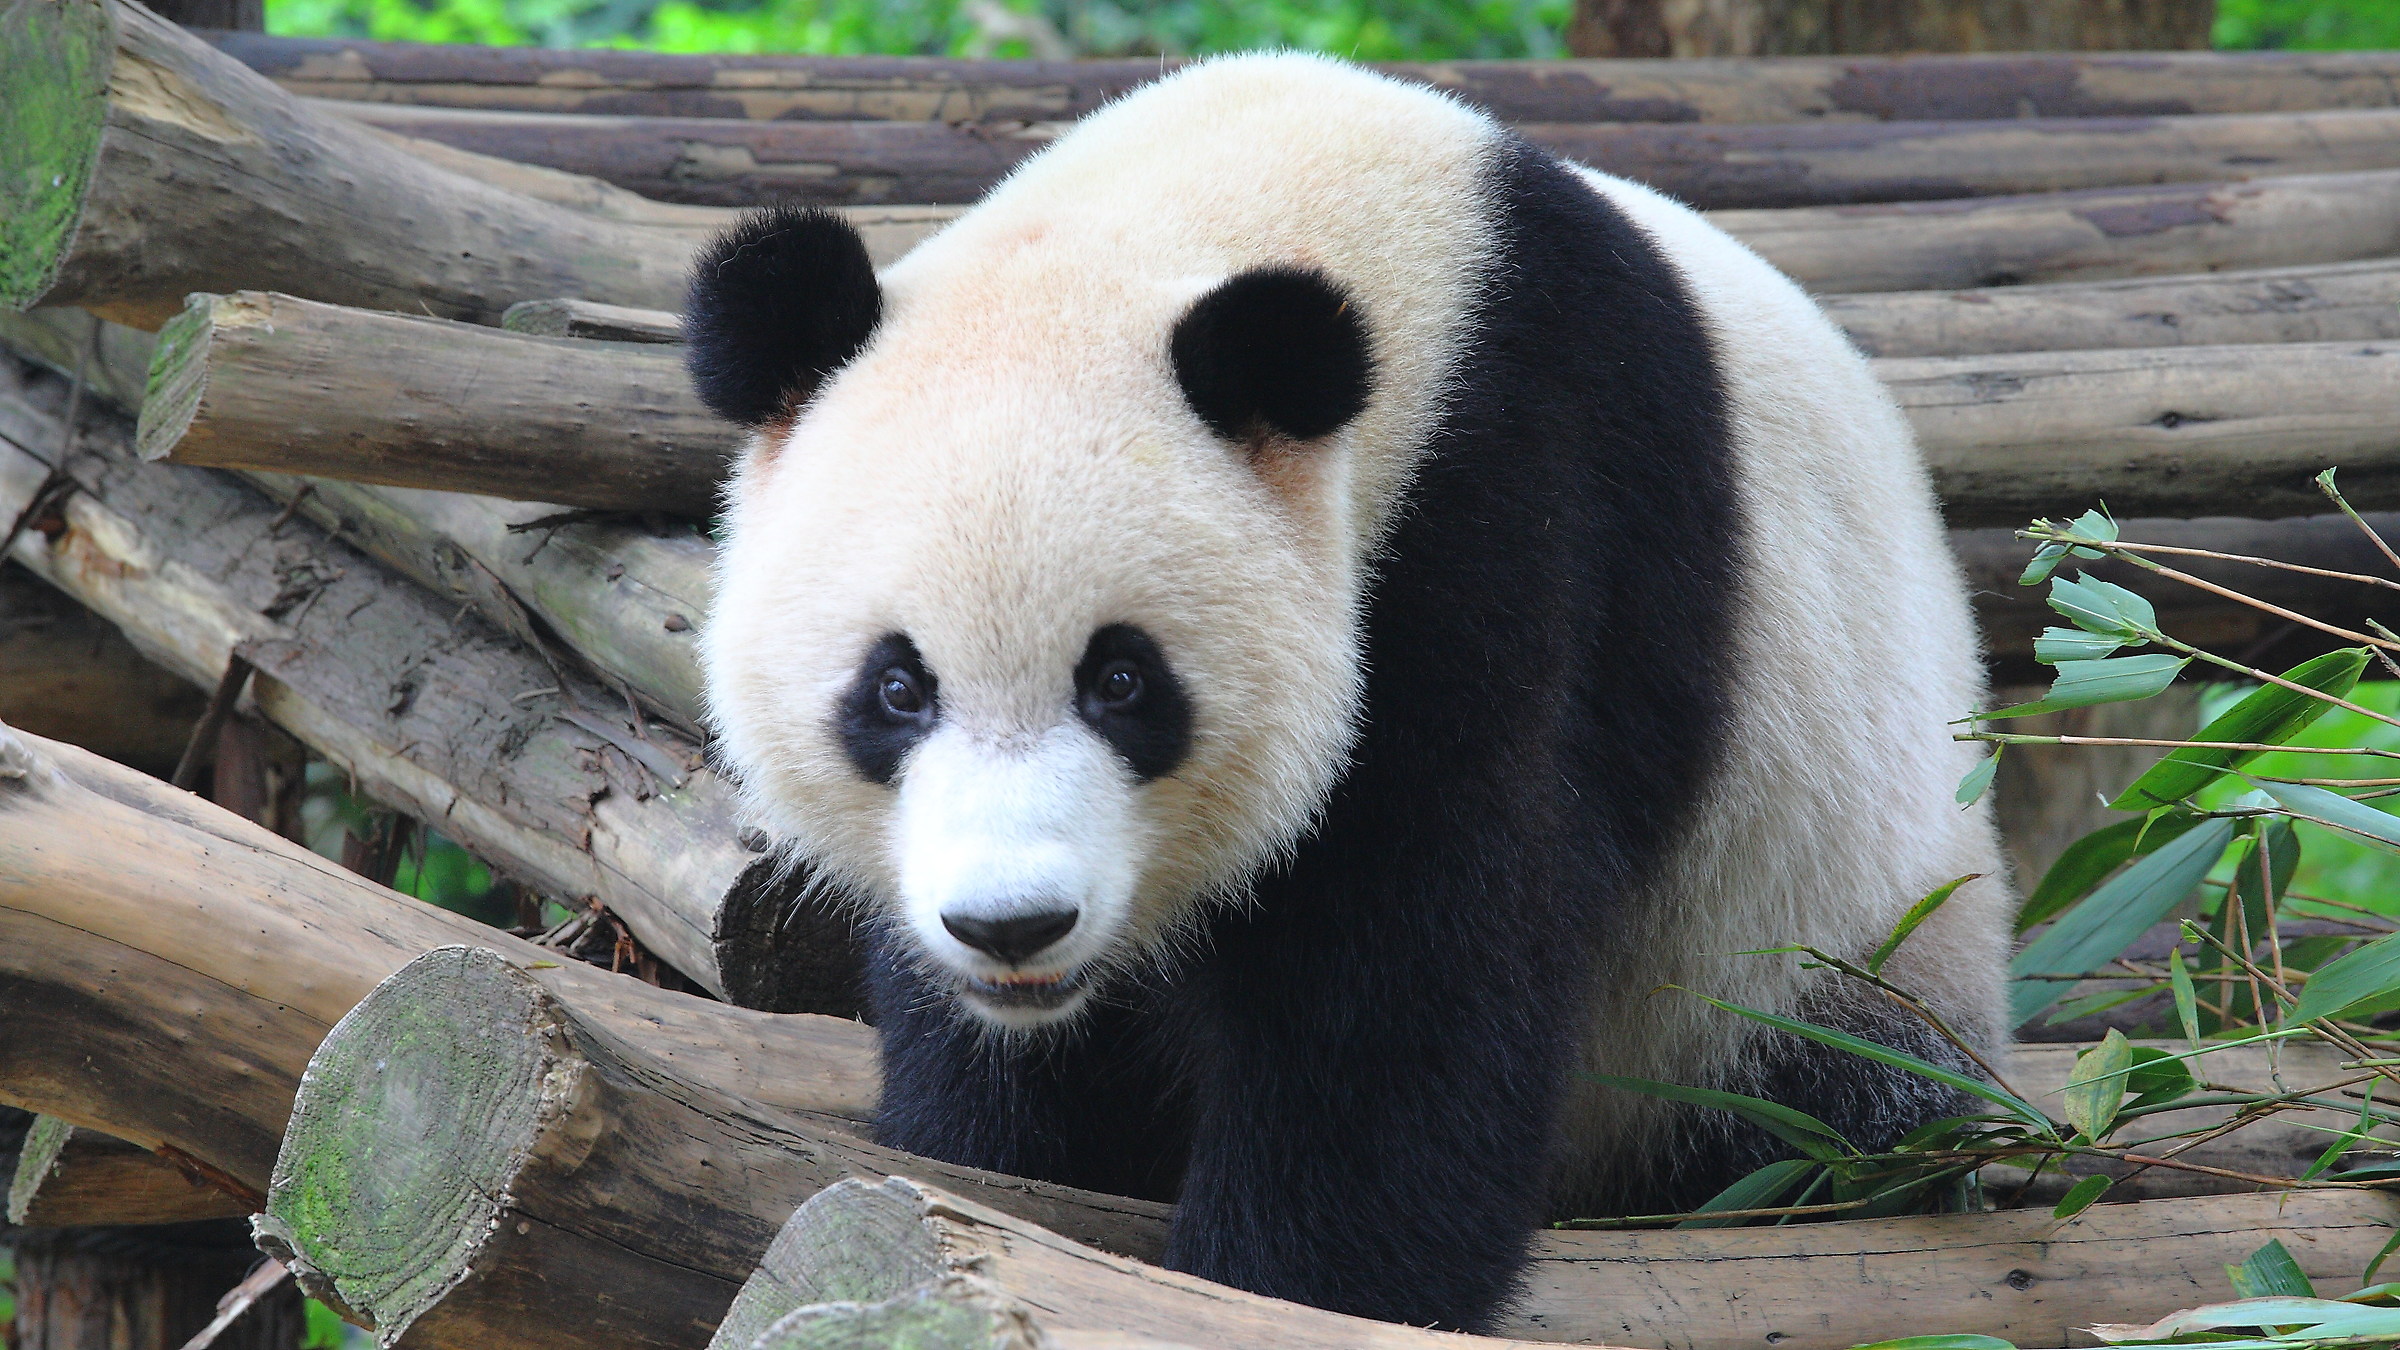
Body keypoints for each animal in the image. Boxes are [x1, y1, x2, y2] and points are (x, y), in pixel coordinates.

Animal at [686, 52, 2012, 1334]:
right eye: (896, 690)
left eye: (1123, 682)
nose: (1014, 925)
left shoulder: (1519, 507)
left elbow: (1425, 952)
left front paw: (1294, 1286)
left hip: (1816, 939)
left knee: (1811, 1114)